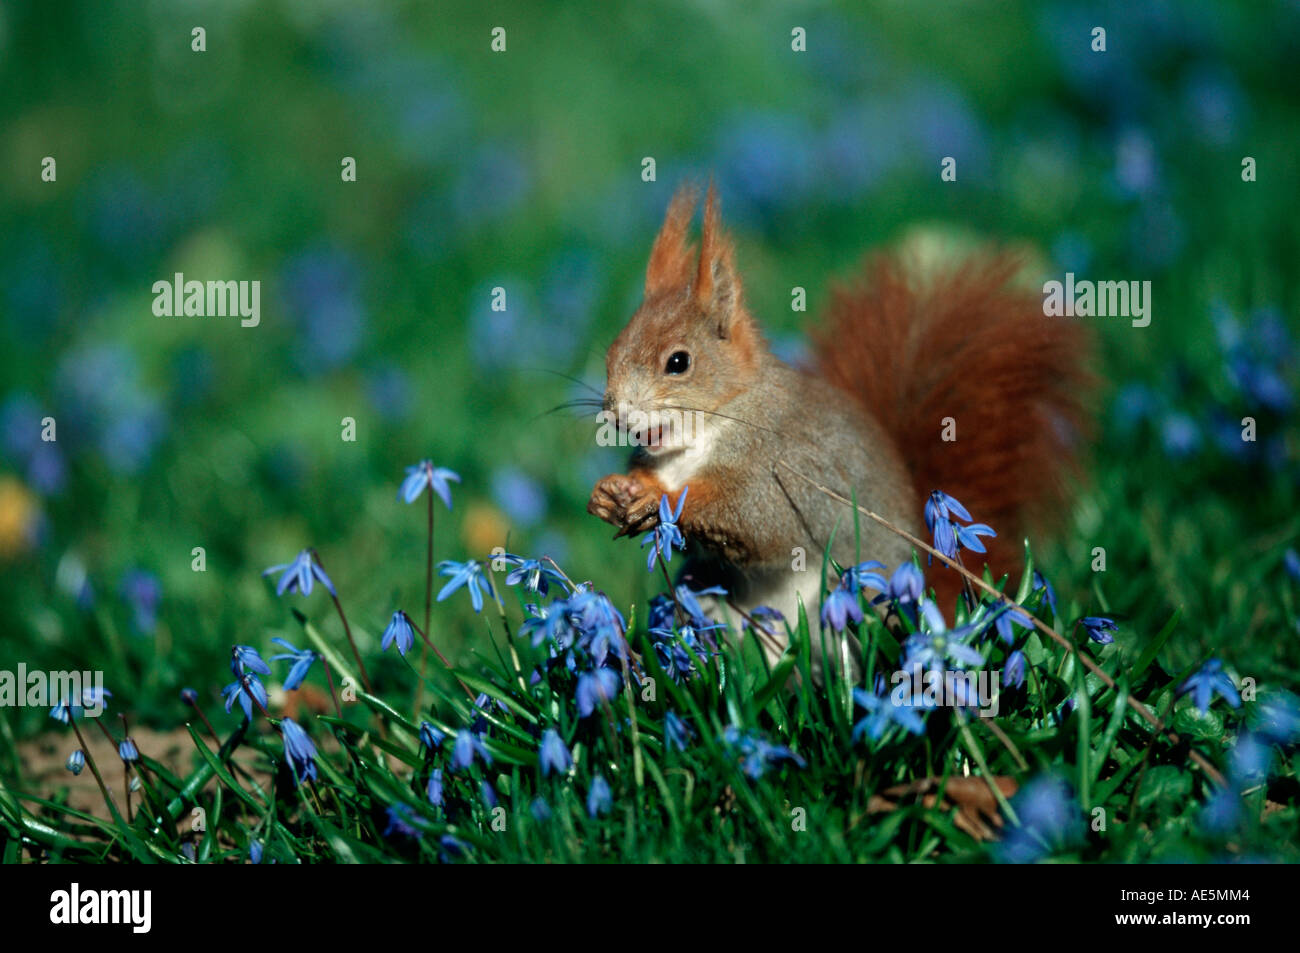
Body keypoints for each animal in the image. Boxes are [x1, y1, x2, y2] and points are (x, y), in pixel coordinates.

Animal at [587, 184, 1086, 660]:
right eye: (612, 352)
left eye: (678, 362)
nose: (617, 411)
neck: (704, 435)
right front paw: (612, 492)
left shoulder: (780, 469)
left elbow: (753, 519)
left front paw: (659, 498)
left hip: (846, 603)